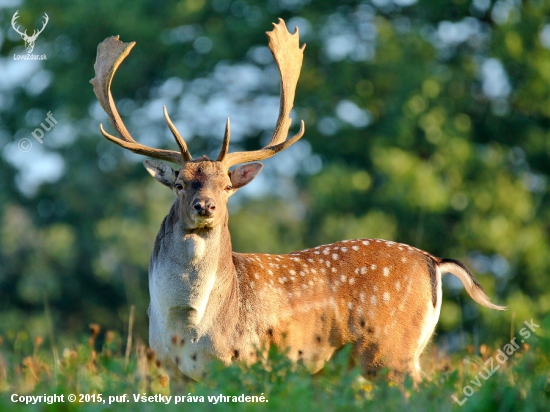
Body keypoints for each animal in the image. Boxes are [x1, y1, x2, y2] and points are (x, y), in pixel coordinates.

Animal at [91, 19, 508, 384]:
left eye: (226, 186)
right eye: (180, 183)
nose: (205, 206)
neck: (188, 326)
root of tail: (434, 262)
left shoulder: (242, 361)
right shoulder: (174, 371)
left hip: (392, 351)